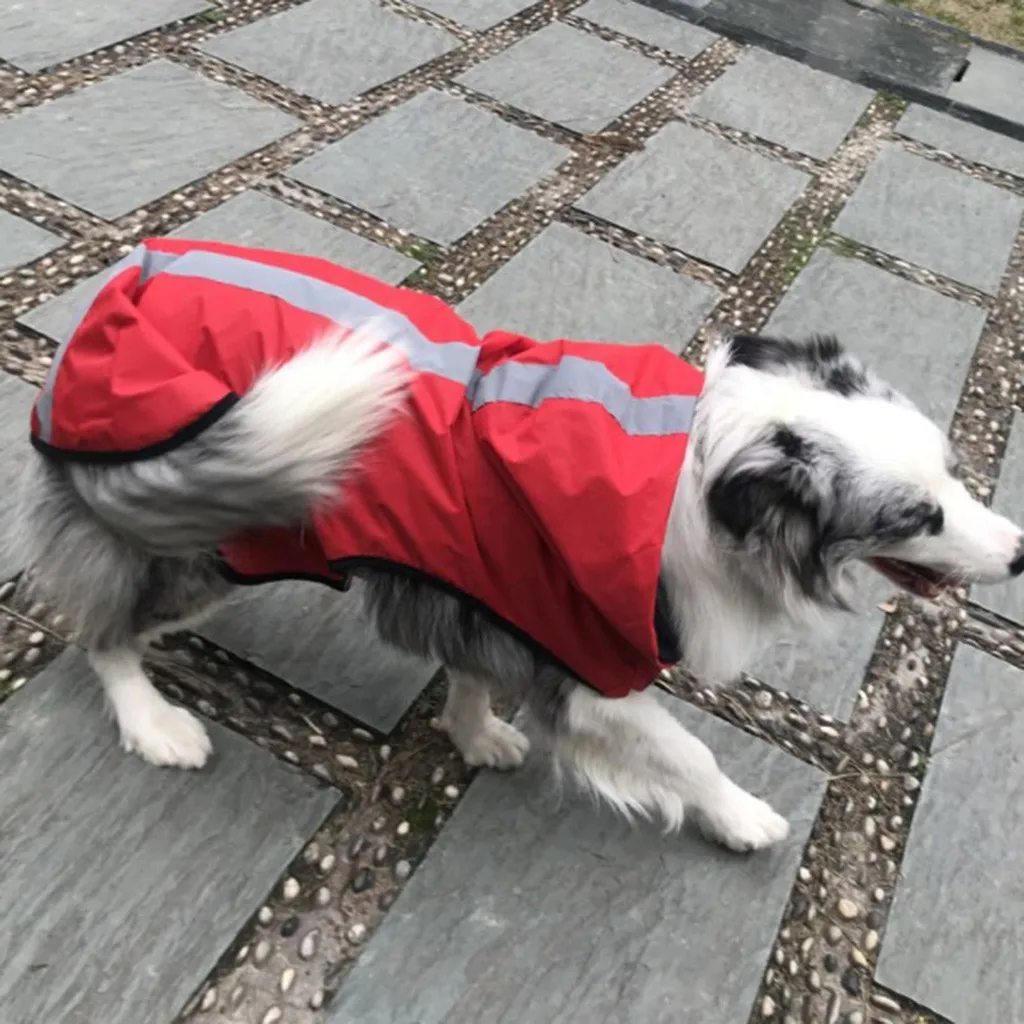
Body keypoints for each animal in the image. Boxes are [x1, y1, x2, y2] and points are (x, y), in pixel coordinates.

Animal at [9, 235, 1024, 851]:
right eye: (916, 518)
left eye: (951, 475)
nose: (1018, 552)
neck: (704, 468)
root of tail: (125, 283)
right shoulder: (590, 665)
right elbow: (685, 754)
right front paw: (741, 819)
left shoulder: (490, 590)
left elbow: (470, 671)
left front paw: (475, 735)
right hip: (201, 529)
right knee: (99, 630)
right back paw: (153, 723)